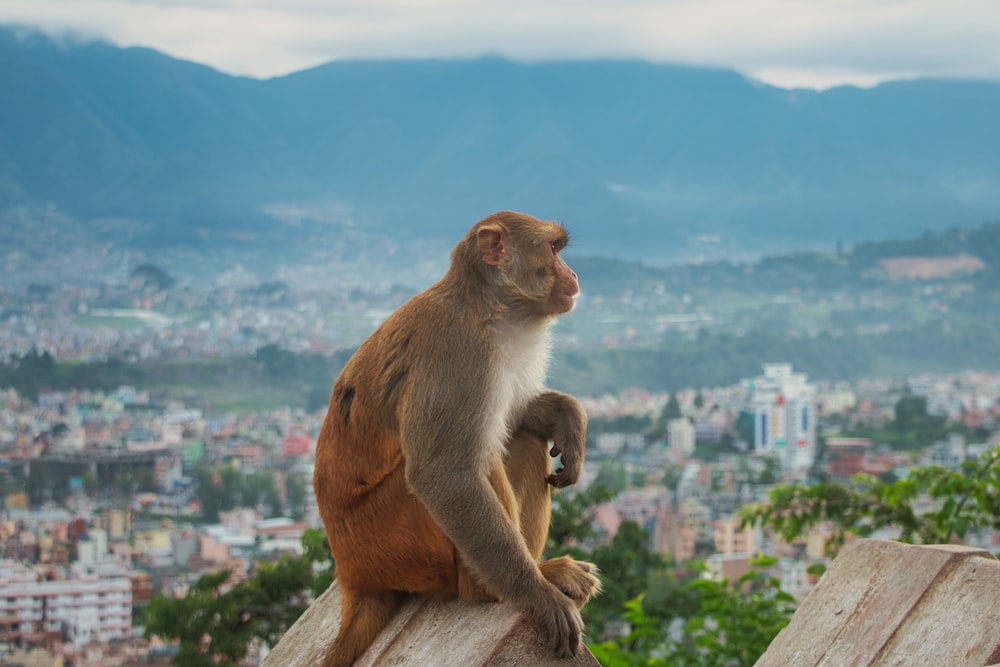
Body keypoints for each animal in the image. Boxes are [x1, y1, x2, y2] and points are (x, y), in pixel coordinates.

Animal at [312, 211, 596, 664]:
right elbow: (443, 476)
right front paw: (539, 598)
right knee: (470, 466)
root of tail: (353, 575)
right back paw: (509, 584)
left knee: (525, 440)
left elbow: (516, 413)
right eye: (553, 249)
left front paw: (570, 419)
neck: (487, 309)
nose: (573, 273)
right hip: (397, 535)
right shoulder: (460, 355)